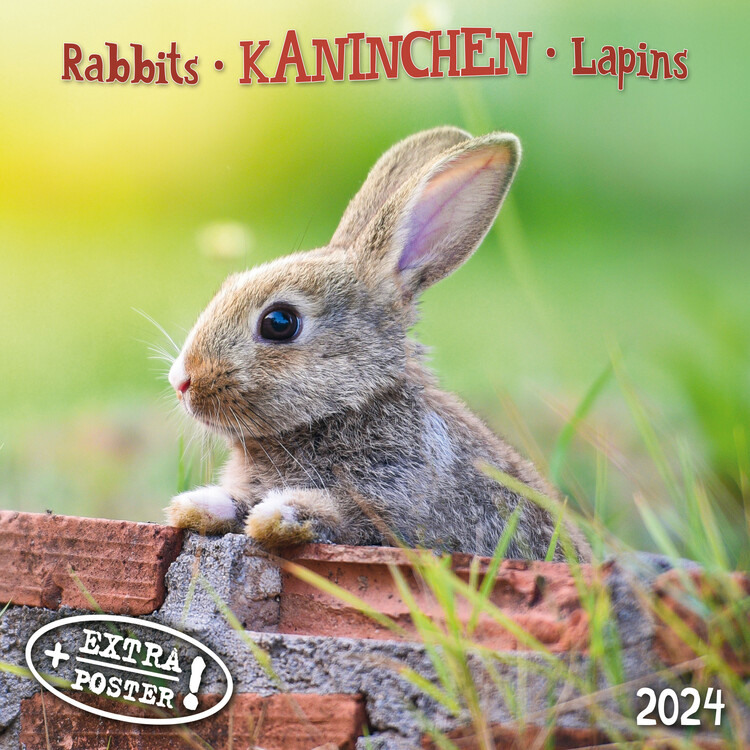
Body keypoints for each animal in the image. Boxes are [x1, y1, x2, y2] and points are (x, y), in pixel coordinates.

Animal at [165, 126, 590, 561]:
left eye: (279, 323)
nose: (181, 381)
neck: (349, 406)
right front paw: (196, 505)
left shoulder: (393, 504)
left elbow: (340, 516)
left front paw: (278, 515)